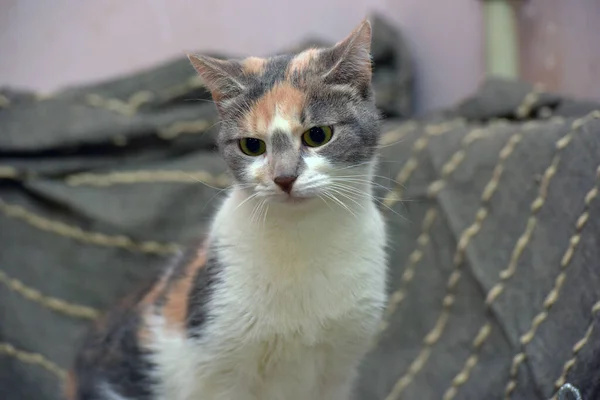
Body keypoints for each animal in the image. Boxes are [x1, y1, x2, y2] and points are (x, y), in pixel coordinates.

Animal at [68, 20, 390, 400]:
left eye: (318, 135)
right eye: (252, 146)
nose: (284, 178)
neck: (302, 238)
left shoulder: (339, 368)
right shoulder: (219, 368)